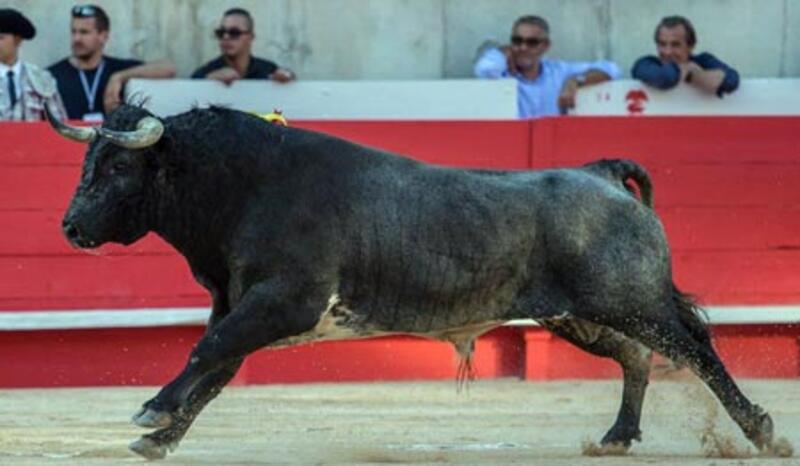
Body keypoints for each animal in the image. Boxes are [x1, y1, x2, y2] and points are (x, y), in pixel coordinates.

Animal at [45, 104, 776, 458]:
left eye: (117, 167)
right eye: (87, 162)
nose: (71, 228)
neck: (241, 186)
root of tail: (598, 173)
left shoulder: (282, 301)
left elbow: (206, 354)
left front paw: (153, 412)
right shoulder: (240, 305)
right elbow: (216, 366)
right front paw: (160, 436)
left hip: (632, 300)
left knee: (696, 349)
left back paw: (762, 431)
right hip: (580, 315)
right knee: (637, 356)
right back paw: (618, 438)